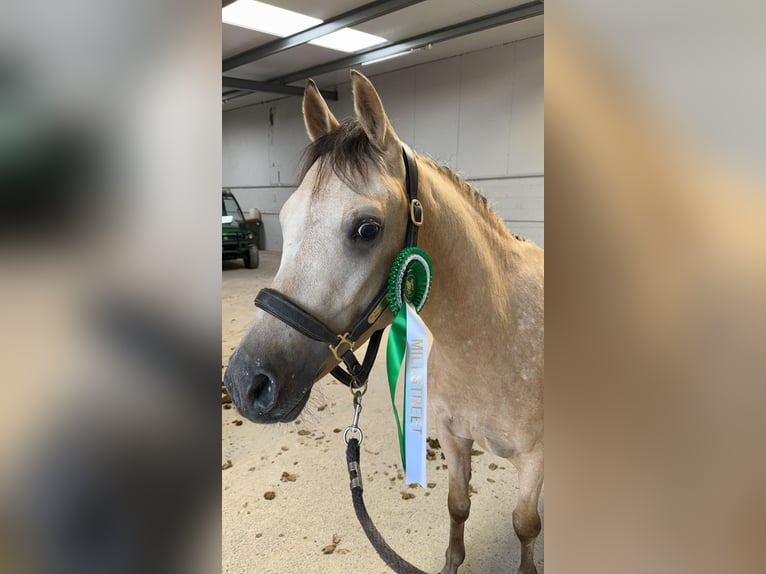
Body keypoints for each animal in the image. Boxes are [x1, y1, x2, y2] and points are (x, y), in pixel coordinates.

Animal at [224, 72, 544, 574]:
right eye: (286, 217)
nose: (245, 382)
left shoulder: (533, 459)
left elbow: (526, 527)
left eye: (366, 229)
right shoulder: (454, 440)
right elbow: (458, 505)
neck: (495, 336)